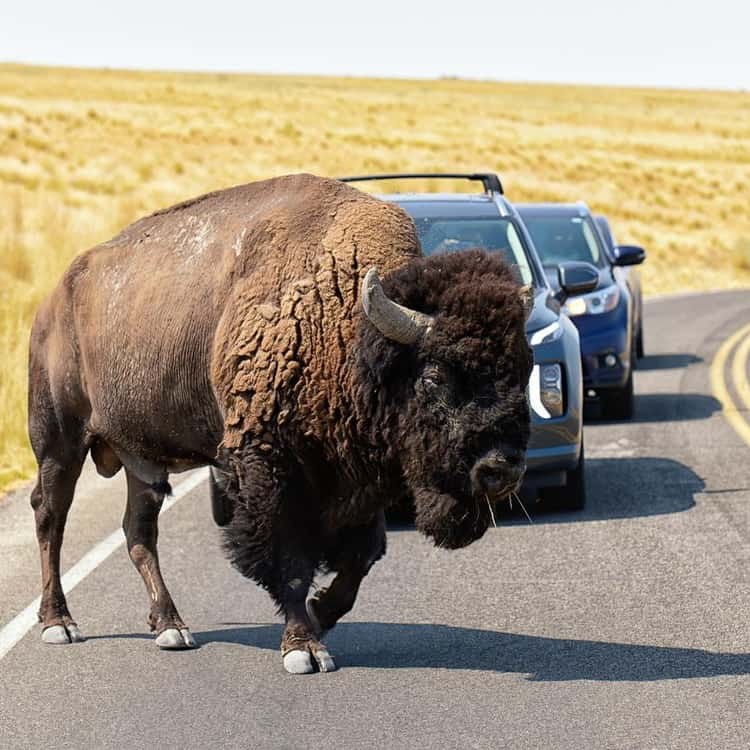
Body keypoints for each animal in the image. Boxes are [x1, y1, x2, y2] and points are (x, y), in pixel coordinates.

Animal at [28, 174, 533, 673]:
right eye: (434, 376)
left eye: (523, 369)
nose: (500, 469)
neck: (347, 328)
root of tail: (53, 300)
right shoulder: (270, 467)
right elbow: (288, 560)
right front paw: (303, 648)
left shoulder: (360, 478)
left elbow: (360, 558)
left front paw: (319, 614)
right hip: (59, 443)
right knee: (50, 516)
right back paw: (60, 623)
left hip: (142, 460)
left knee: (139, 532)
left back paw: (171, 627)